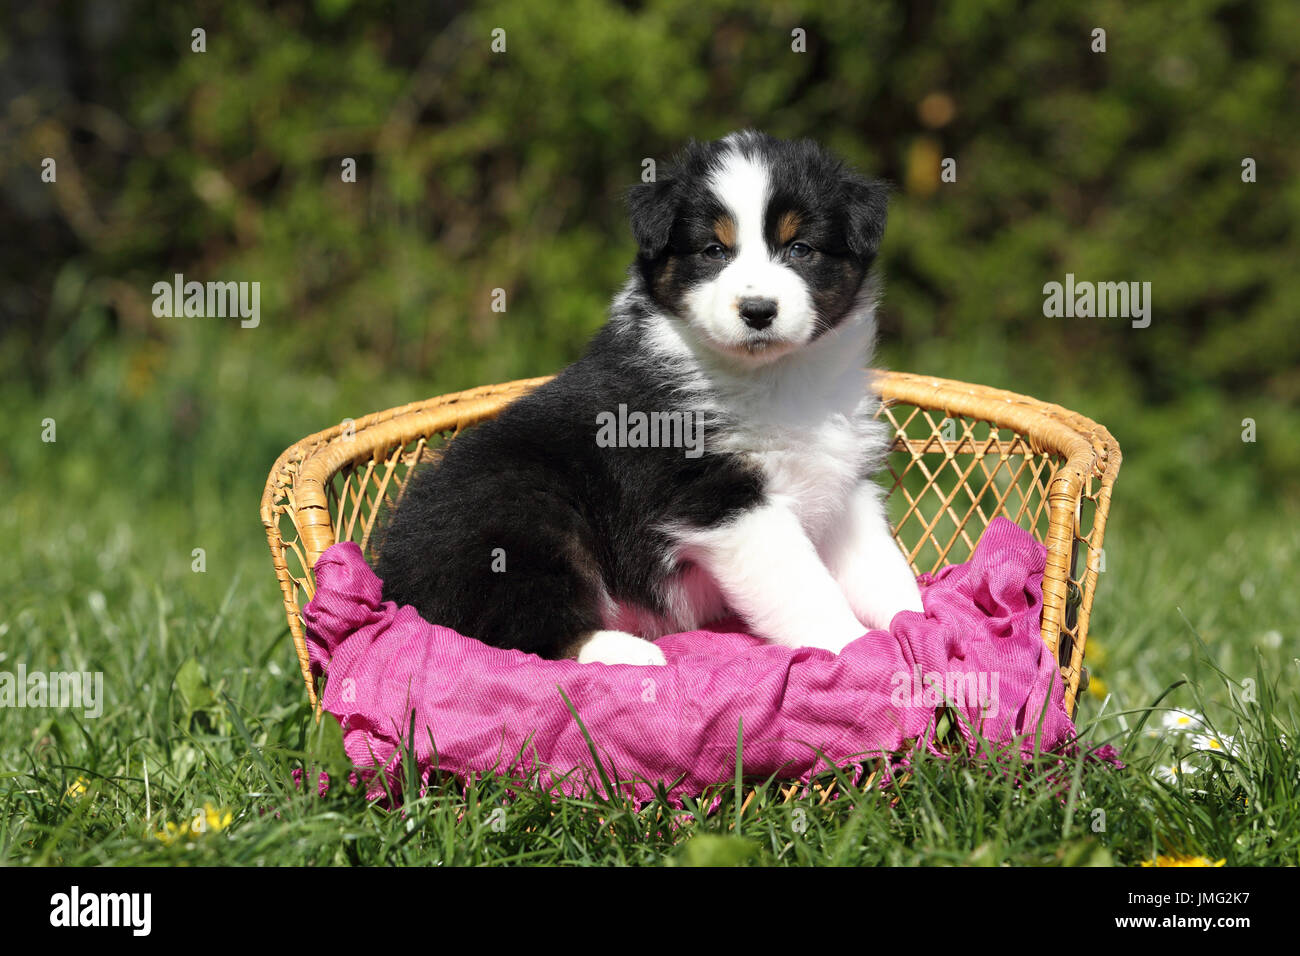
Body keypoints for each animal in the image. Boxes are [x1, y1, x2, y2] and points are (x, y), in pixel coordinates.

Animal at [377, 128, 925, 665]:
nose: (757, 310)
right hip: (519, 510)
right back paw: (629, 652)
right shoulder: (720, 497)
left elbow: (881, 565)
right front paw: (850, 647)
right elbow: (802, 583)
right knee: (517, 624)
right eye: (713, 251)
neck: (775, 377)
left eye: (801, 249)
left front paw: (916, 619)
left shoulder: (842, 481)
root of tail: (390, 574)